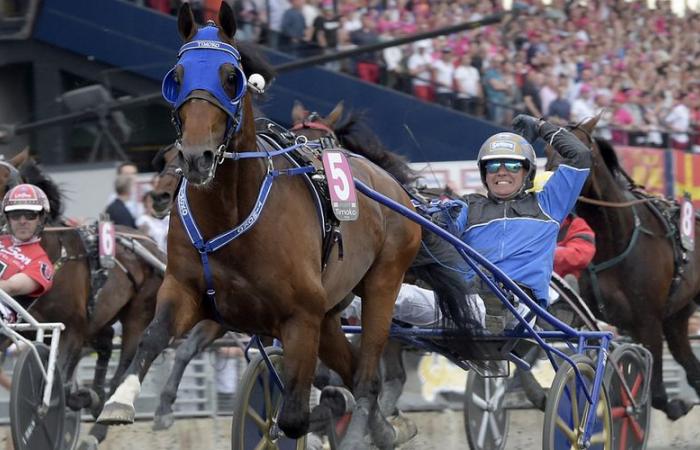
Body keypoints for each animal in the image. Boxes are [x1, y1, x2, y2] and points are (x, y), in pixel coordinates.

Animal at [0, 150, 163, 446]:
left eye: (8, 185)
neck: (55, 255)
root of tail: (152, 243)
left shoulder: (71, 331)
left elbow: (62, 386)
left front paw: (85, 398)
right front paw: (89, 396)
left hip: (137, 316)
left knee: (126, 363)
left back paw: (101, 418)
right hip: (100, 318)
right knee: (107, 342)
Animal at [95, 2, 484, 446]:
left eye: (231, 78)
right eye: (176, 77)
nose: (196, 158)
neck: (230, 215)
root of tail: (396, 190)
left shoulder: (299, 318)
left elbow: (296, 415)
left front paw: (315, 418)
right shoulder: (188, 291)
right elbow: (154, 338)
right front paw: (119, 401)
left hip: (383, 284)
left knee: (368, 375)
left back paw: (363, 426)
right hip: (330, 313)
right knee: (354, 369)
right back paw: (383, 426)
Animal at [544, 115, 700, 418]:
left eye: (577, 150)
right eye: (547, 150)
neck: (615, 238)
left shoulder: (647, 321)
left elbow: (654, 390)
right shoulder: (615, 320)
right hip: (677, 315)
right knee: (689, 362)